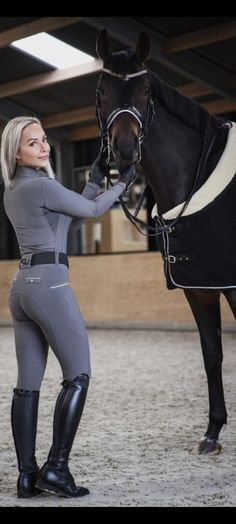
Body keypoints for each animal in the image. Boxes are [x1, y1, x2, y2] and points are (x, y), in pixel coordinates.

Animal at [95, 29, 236, 454]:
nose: (125, 149)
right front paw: (212, 432)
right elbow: (212, 353)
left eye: (144, 90)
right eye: (102, 90)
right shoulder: (200, 286)